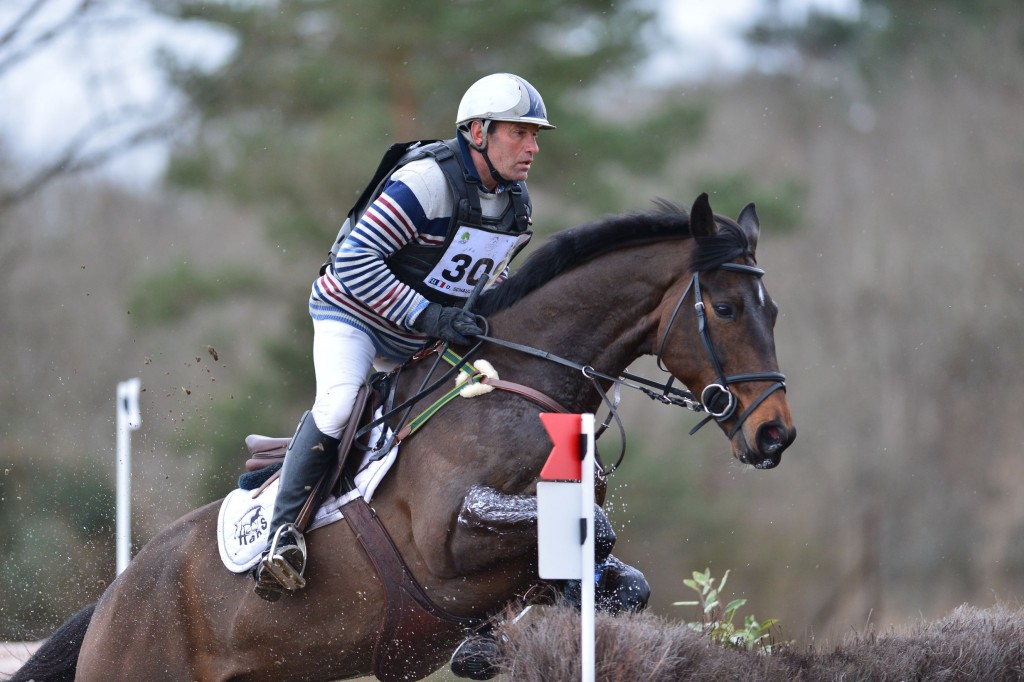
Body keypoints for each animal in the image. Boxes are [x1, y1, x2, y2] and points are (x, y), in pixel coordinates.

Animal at [12, 191, 790, 679]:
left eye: (772, 308)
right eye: (724, 308)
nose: (775, 434)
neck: (521, 385)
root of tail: (113, 600)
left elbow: (615, 574)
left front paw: (490, 648)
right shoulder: (444, 540)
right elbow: (594, 529)